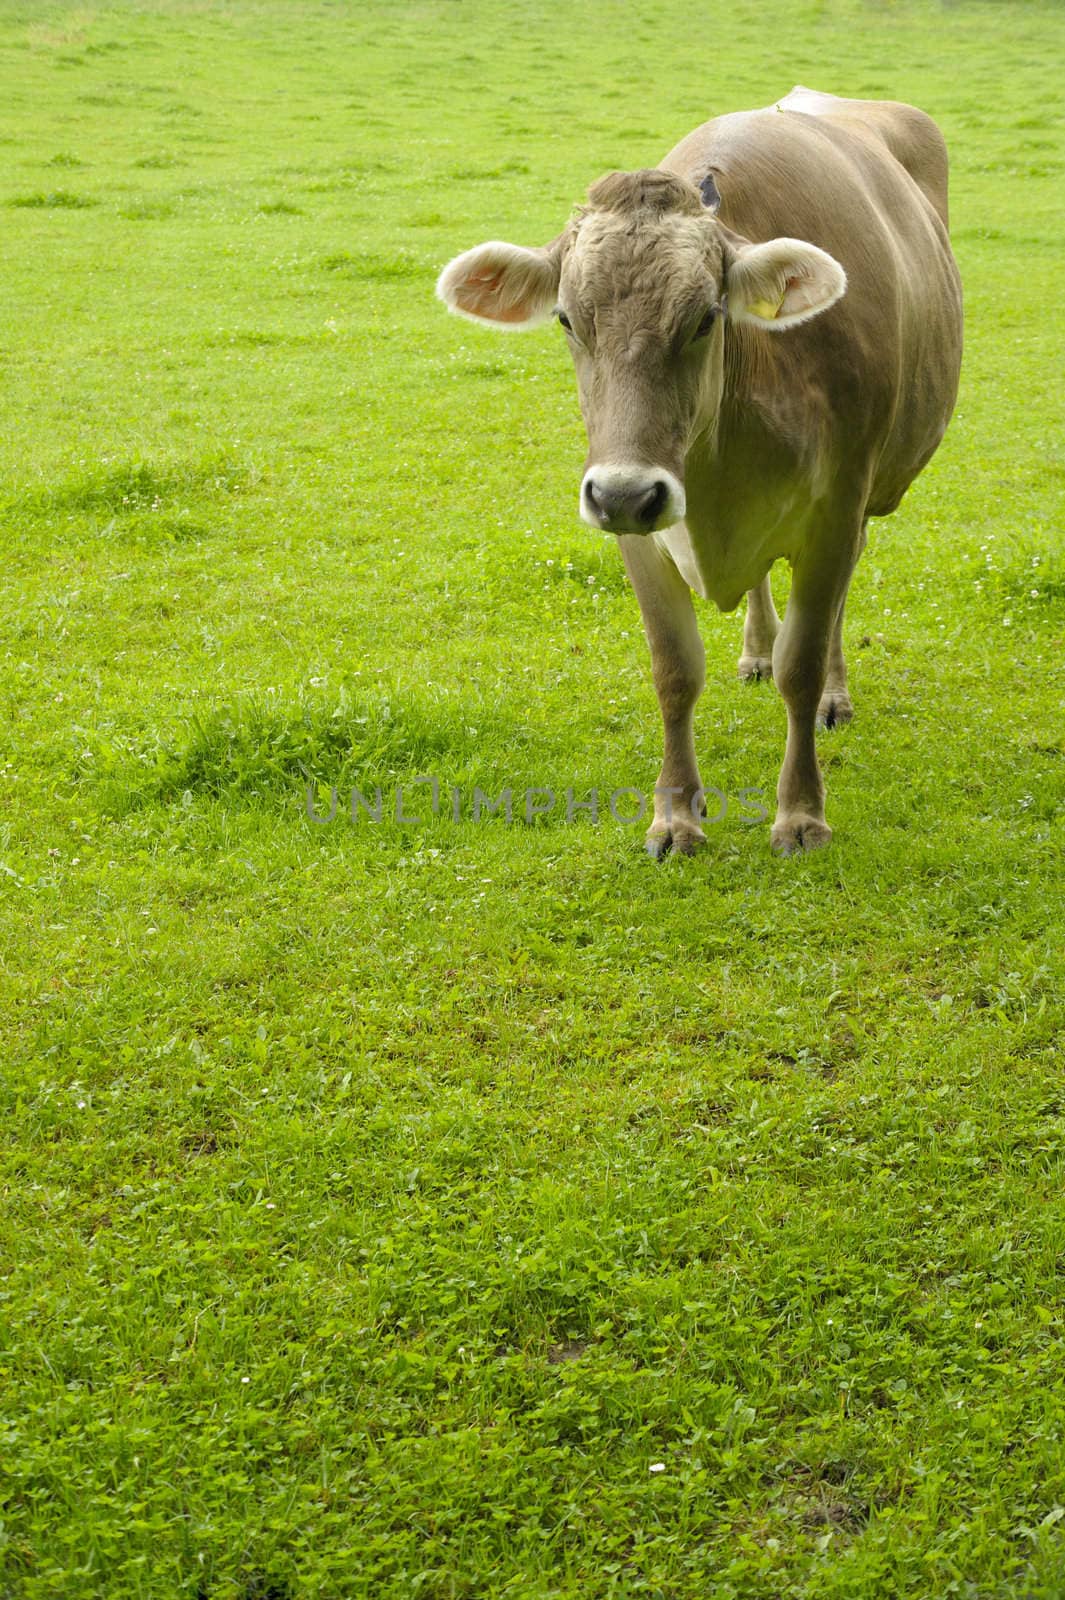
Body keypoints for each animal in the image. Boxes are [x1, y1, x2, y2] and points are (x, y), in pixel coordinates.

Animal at [434, 87, 959, 857]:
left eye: (706, 318)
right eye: (566, 320)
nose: (624, 492)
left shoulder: (835, 511)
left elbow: (802, 665)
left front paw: (800, 812)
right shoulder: (638, 532)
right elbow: (674, 670)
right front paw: (675, 815)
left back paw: (832, 693)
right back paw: (755, 651)